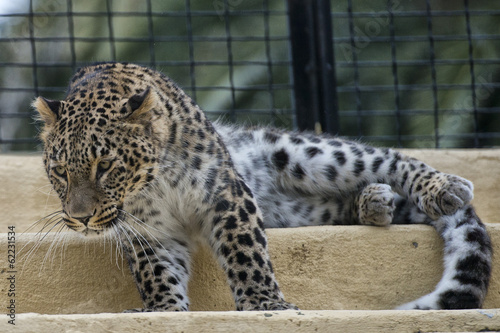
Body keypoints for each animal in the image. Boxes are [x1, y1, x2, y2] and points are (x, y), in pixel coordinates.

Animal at [32, 61, 492, 312]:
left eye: (105, 165)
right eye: (60, 172)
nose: (80, 219)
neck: (153, 183)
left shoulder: (224, 193)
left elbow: (244, 250)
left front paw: (265, 304)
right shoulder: (149, 229)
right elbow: (157, 271)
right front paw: (162, 310)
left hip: (306, 154)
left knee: (389, 159)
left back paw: (442, 188)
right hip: (294, 211)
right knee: (336, 205)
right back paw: (375, 203)